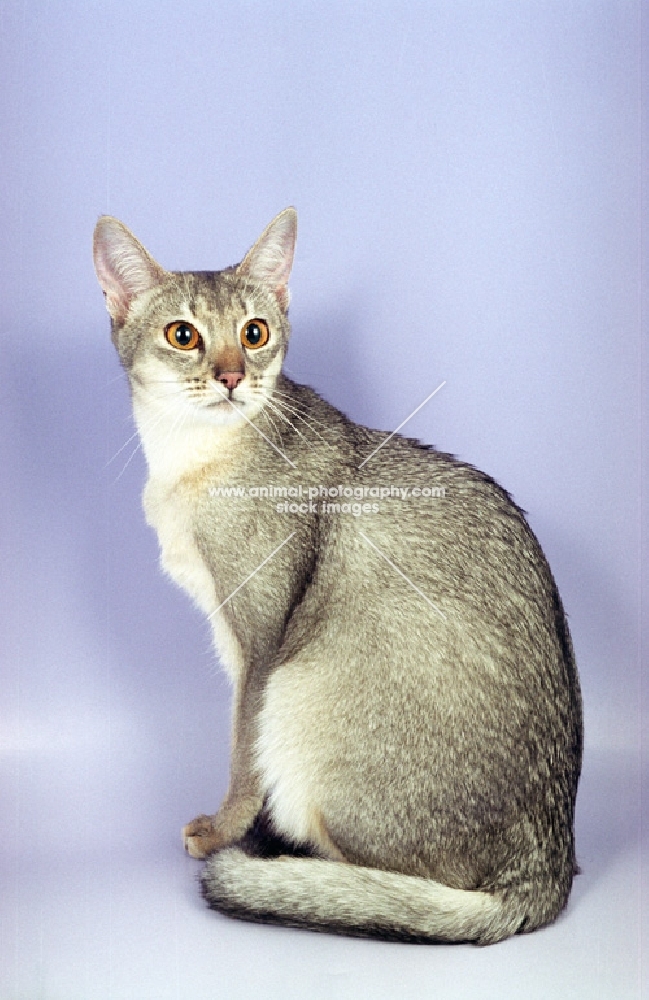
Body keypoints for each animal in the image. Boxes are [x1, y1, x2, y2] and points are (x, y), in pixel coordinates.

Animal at [93, 207, 584, 940]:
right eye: (183, 335)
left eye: (254, 333)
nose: (231, 376)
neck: (192, 459)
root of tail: (545, 871)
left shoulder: (260, 643)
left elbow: (241, 752)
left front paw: (223, 831)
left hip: (298, 695)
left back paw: (298, 873)